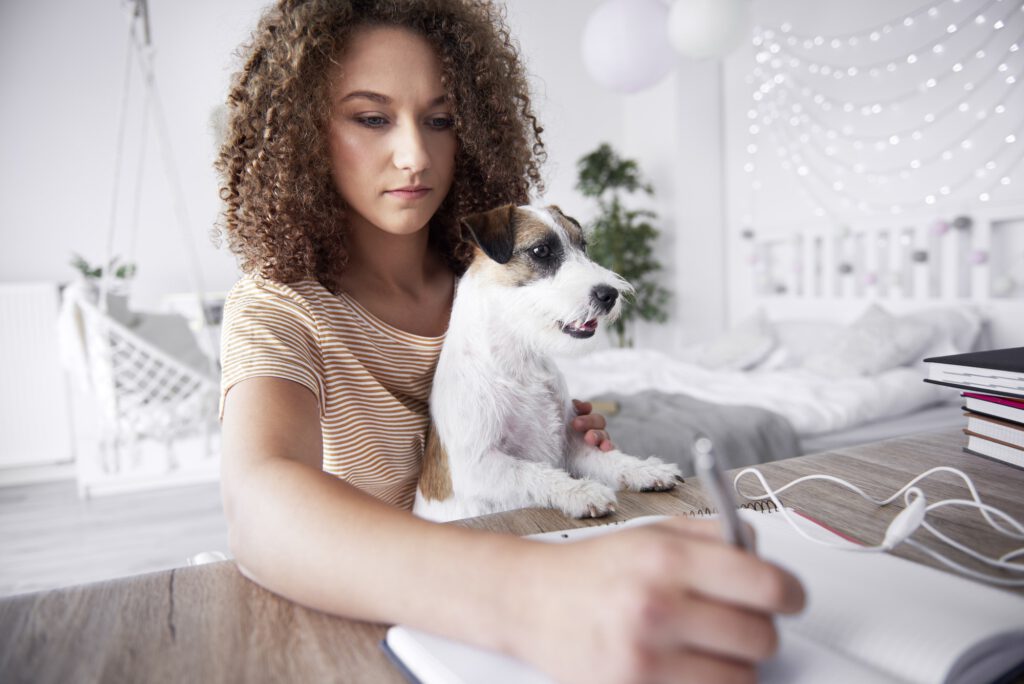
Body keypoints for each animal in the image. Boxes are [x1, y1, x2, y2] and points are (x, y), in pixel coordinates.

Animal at [411, 205, 684, 520]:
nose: (610, 294)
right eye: (541, 250)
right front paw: (581, 491)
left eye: (583, 246)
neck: (520, 359)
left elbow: (609, 457)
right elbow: (532, 473)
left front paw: (645, 469)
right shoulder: (476, 466)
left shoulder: (574, 446)